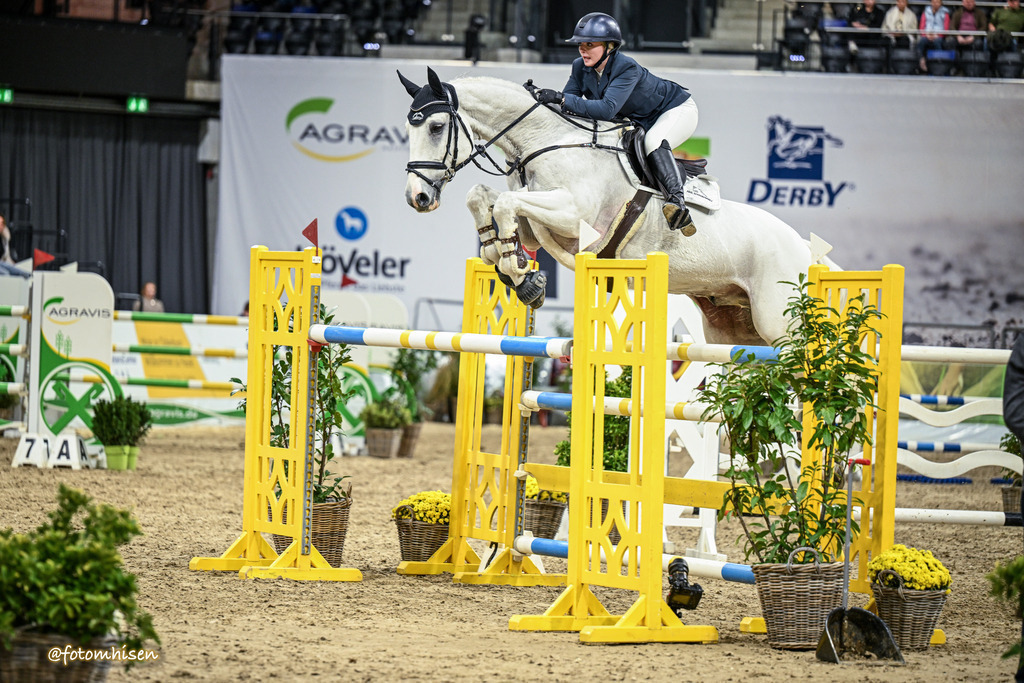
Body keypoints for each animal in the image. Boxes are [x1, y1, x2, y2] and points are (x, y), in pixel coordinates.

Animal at [399, 68, 834, 346]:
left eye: (436, 127)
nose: (417, 198)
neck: (545, 139)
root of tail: (805, 249)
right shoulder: (537, 223)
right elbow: (483, 199)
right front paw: (512, 266)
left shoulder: (573, 216)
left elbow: (505, 203)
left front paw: (523, 276)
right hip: (730, 329)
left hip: (779, 324)